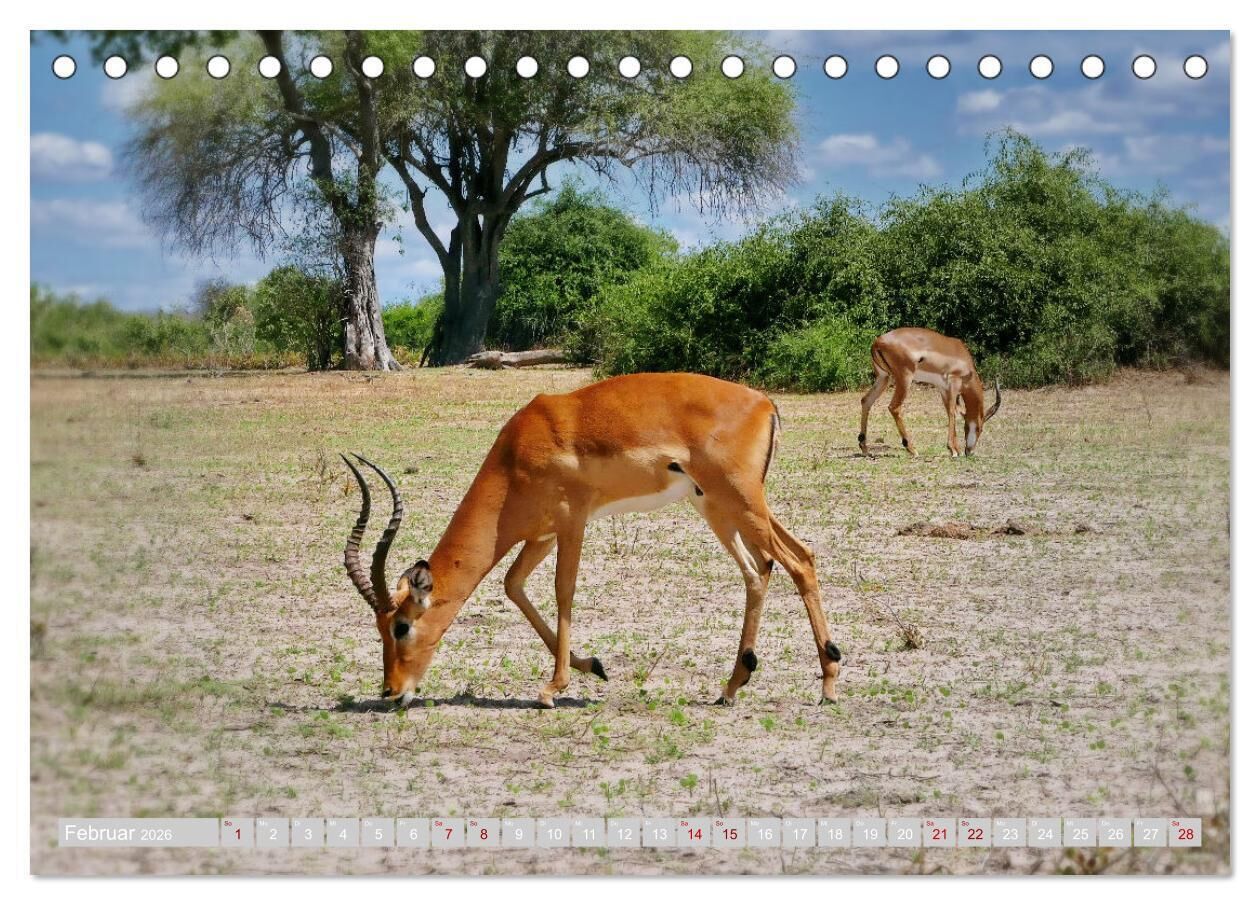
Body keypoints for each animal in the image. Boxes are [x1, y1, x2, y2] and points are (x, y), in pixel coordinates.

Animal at [340, 372, 844, 709]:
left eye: (402, 626)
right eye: (380, 628)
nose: (391, 691)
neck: (516, 454)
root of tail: (764, 403)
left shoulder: (571, 523)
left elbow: (563, 591)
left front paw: (551, 689)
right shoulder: (539, 536)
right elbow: (513, 586)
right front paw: (593, 666)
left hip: (739, 503)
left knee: (797, 562)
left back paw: (828, 684)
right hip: (721, 508)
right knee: (766, 568)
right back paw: (732, 686)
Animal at [858, 327, 1002, 458]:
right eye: (979, 428)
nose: (970, 451)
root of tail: (877, 342)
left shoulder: (943, 388)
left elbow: (949, 411)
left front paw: (955, 449)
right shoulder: (954, 382)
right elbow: (952, 412)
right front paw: (954, 450)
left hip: (884, 377)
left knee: (866, 400)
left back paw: (865, 448)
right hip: (905, 379)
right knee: (894, 407)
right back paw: (912, 449)